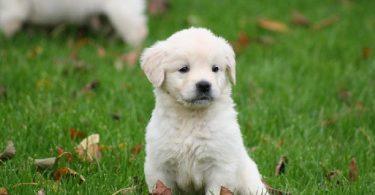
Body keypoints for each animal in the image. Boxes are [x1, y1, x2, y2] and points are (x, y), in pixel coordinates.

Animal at [140, 27, 268, 195]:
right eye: (184, 69)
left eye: (215, 68)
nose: (204, 85)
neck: (192, 117)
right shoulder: (159, 166)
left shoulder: (220, 167)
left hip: (250, 181)